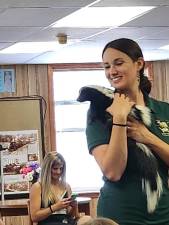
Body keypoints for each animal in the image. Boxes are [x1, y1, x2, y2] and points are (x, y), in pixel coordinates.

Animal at [77, 84, 163, 213]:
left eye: (82, 94)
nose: (77, 99)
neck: (101, 94)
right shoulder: (98, 104)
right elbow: (95, 112)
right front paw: (93, 118)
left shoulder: (103, 104)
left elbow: (96, 113)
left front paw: (92, 118)